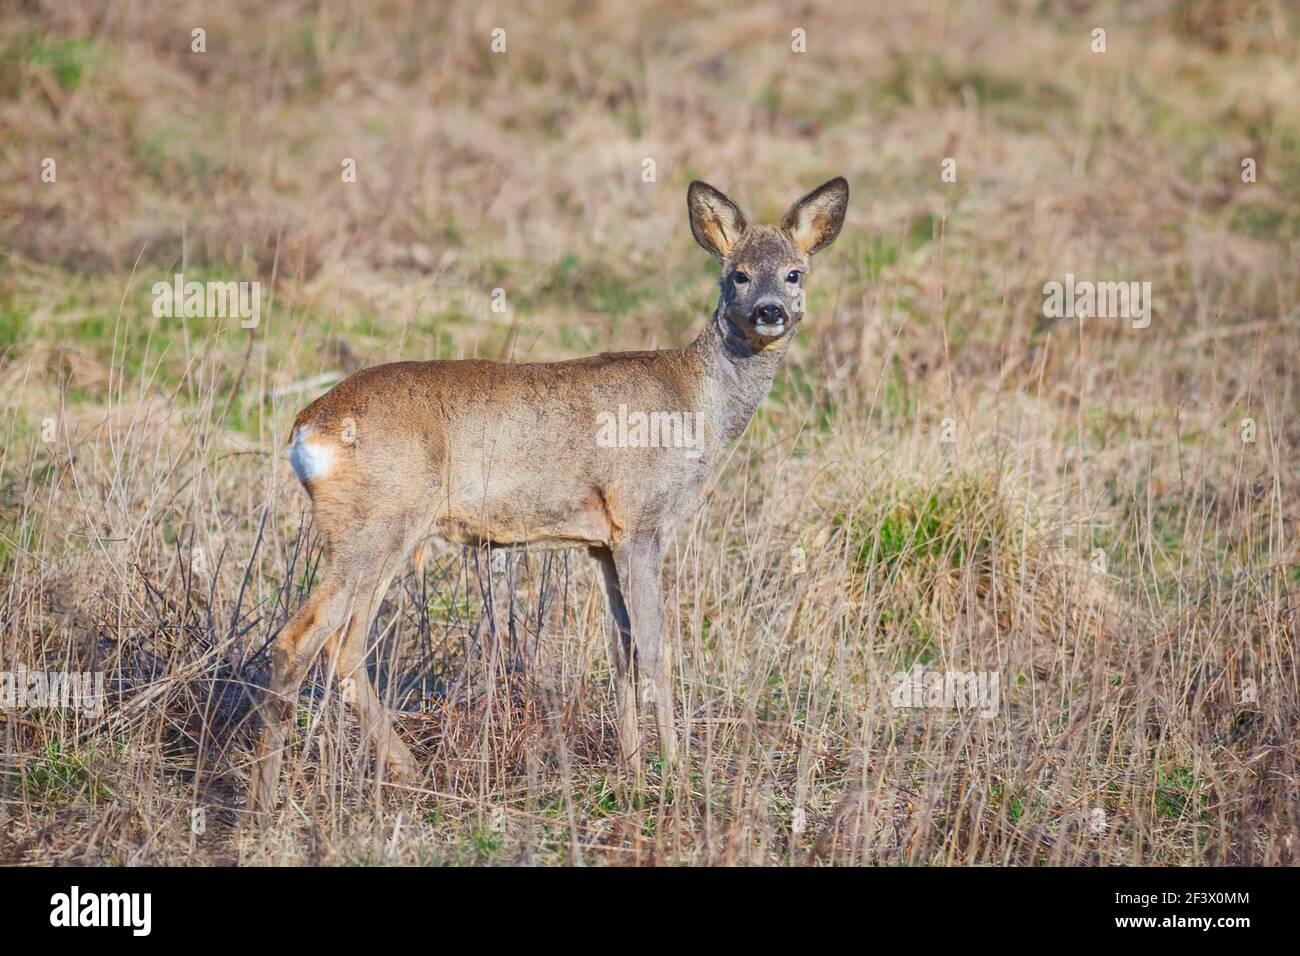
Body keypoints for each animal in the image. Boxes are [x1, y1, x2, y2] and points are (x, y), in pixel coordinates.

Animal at [247, 177, 849, 824]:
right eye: (737, 274)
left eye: (794, 272)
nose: (770, 311)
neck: (696, 402)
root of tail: (307, 427)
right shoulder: (642, 521)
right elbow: (657, 649)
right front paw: (676, 776)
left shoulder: (602, 542)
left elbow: (622, 650)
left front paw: (633, 773)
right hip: (379, 523)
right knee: (301, 640)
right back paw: (265, 805)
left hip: (382, 533)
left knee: (345, 650)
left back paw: (405, 773)